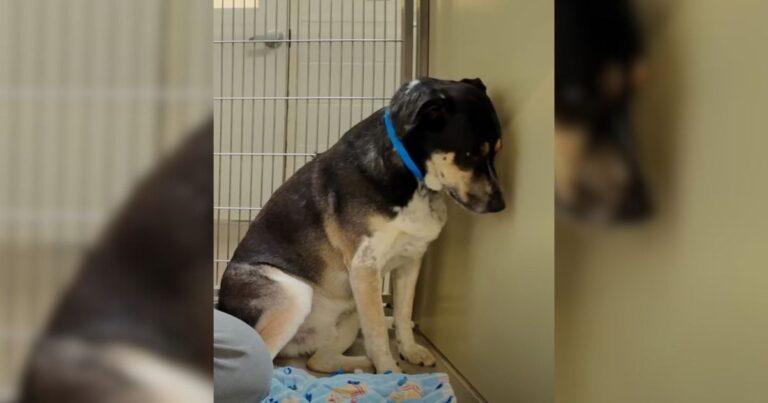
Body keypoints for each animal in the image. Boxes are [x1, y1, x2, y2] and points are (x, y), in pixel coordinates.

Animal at [216, 77, 508, 374]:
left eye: (497, 151)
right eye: (470, 155)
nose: (500, 205)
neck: (411, 175)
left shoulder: (410, 260)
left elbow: (402, 312)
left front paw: (409, 350)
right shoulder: (364, 267)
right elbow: (378, 330)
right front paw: (390, 372)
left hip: (349, 314)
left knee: (320, 360)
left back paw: (363, 363)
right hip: (294, 294)